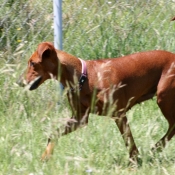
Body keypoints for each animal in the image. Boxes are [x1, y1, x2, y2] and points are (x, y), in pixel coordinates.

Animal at [18, 41, 175, 161]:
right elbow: (53, 135)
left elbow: (129, 142)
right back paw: (156, 149)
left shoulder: (119, 115)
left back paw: (156, 148)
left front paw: (134, 162)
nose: (18, 82)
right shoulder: (79, 119)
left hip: (163, 98)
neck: (85, 78)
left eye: (32, 63)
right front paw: (45, 157)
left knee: (173, 126)